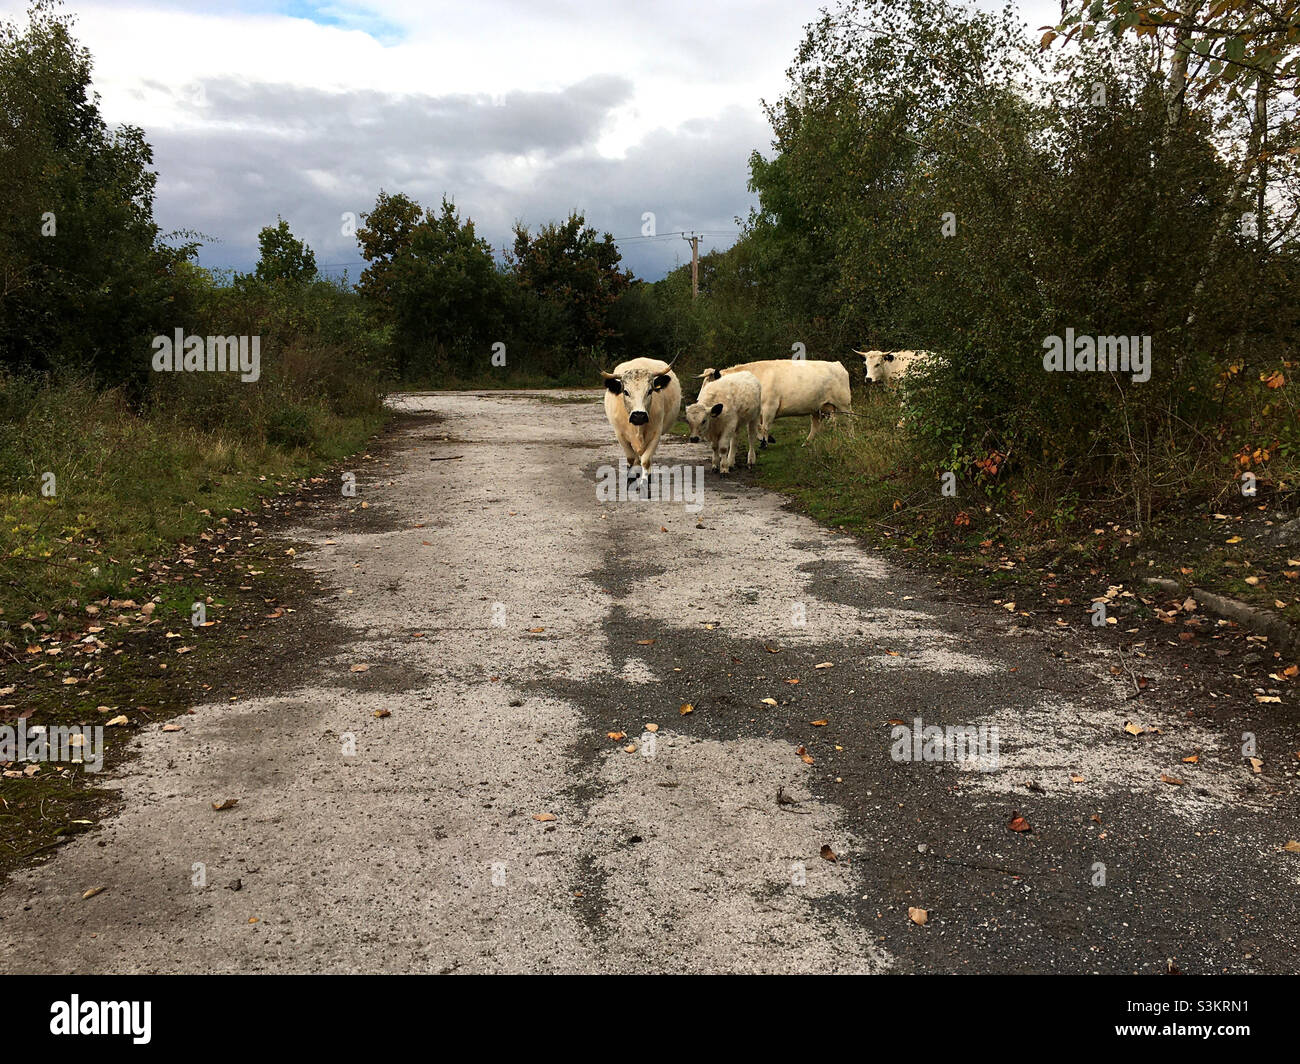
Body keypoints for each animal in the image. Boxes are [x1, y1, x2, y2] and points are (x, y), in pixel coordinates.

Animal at [698, 359, 851, 445]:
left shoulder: (769, 407)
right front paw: (766, 439)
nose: (699, 399)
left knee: (851, 422)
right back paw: (807, 443)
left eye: (709, 383)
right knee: (816, 425)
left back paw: (851, 438)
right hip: (818, 408)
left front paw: (765, 442)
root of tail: (837, 364)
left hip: (844, 404)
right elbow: (759, 427)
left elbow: (765, 426)